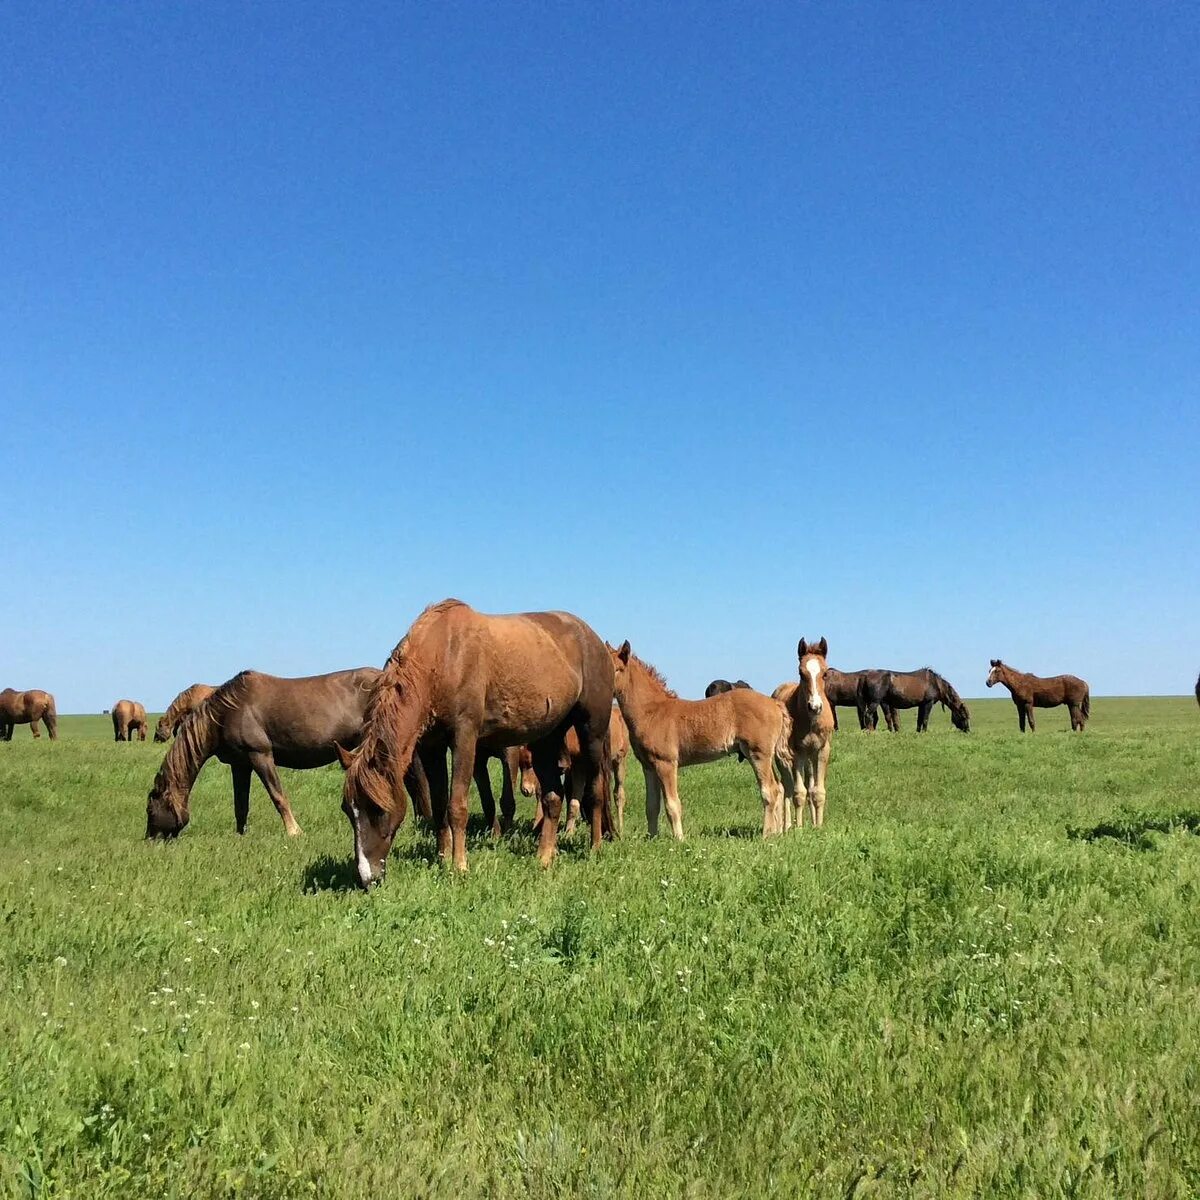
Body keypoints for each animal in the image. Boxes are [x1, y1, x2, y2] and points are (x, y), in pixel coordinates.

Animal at [147, 667, 432, 844]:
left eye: (150, 809)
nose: (150, 838)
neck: (228, 712)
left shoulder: (260, 755)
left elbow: (278, 796)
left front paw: (294, 832)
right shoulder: (240, 764)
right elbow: (241, 804)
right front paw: (241, 836)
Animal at [340, 600, 614, 883]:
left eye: (377, 808)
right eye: (348, 809)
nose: (367, 878)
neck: (443, 657)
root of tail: (594, 640)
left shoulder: (465, 738)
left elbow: (457, 805)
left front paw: (459, 866)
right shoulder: (431, 747)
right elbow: (439, 805)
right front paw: (442, 859)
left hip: (591, 732)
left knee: (596, 790)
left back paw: (594, 848)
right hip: (546, 738)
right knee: (553, 796)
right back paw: (545, 857)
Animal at [609, 643, 787, 840]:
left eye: (617, 669)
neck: (652, 712)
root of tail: (774, 704)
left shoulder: (666, 763)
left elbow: (672, 804)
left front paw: (679, 839)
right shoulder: (648, 766)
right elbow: (652, 806)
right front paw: (652, 838)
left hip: (758, 754)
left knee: (770, 790)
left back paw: (766, 835)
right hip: (762, 755)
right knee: (779, 787)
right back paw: (778, 833)